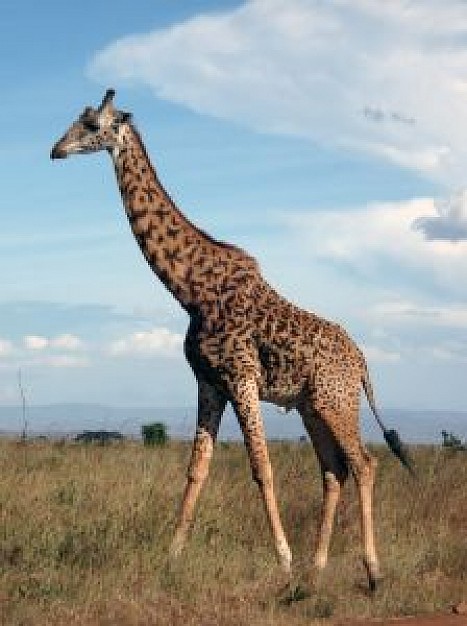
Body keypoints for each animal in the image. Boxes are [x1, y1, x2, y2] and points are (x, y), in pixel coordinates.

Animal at [49, 90, 412, 588]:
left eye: (89, 125)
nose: (56, 150)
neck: (190, 289)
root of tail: (362, 363)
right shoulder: (209, 381)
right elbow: (196, 470)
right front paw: (173, 556)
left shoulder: (241, 376)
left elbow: (261, 467)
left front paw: (283, 559)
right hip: (311, 407)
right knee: (333, 470)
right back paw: (318, 566)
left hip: (337, 401)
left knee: (364, 464)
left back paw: (372, 571)